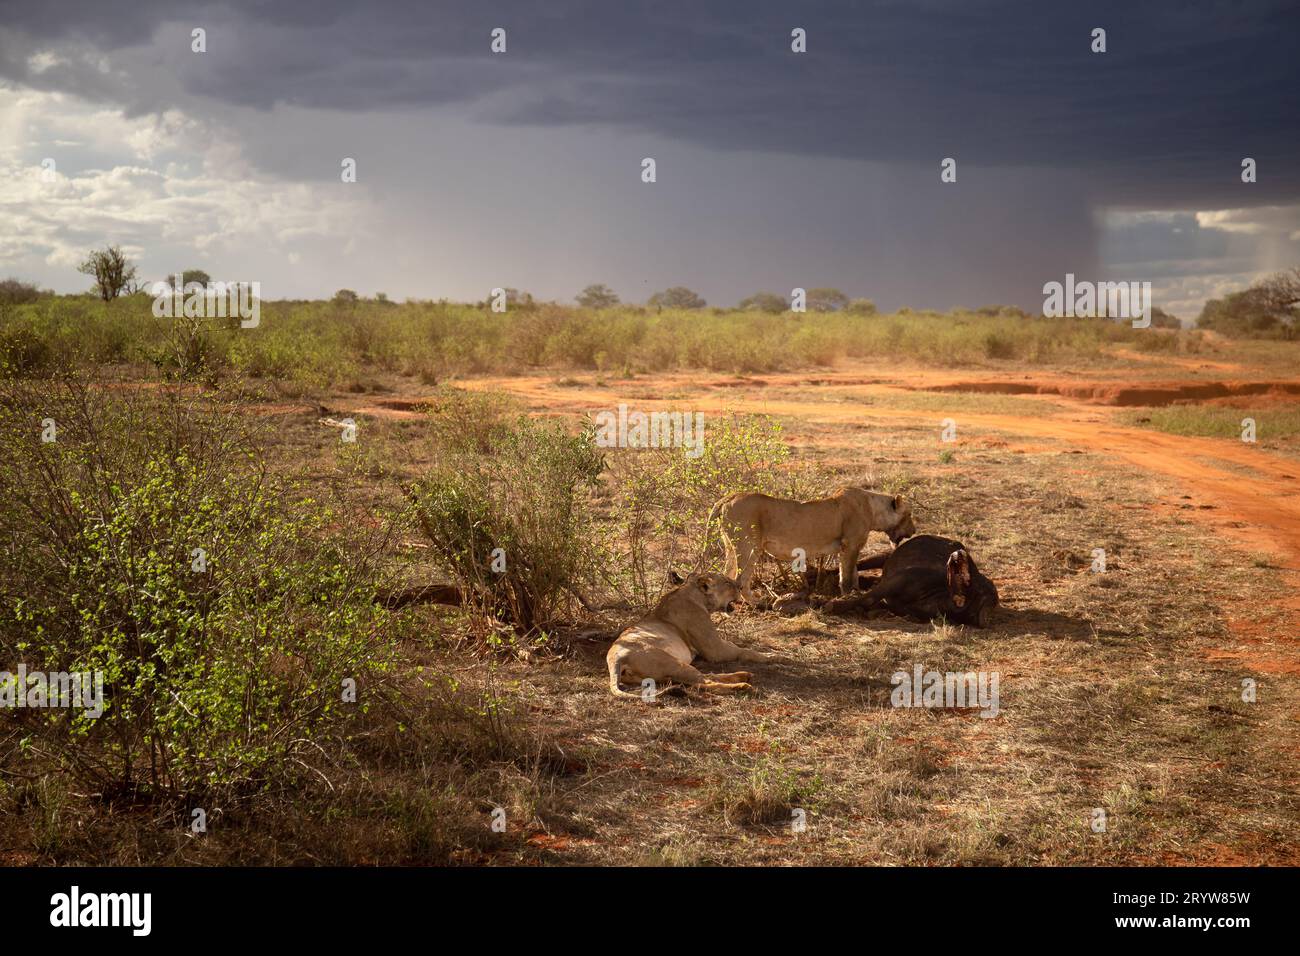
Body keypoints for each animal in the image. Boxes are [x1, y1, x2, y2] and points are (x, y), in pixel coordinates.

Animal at [607, 572, 768, 699]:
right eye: (727, 582)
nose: (741, 587)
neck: (691, 592)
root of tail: (616, 658)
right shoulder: (715, 650)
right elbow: (745, 651)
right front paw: (771, 656)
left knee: (705, 677)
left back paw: (744, 675)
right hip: (673, 663)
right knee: (705, 683)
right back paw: (742, 686)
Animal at [708, 486, 916, 601]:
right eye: (909, 514)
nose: (914, 531)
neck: (874, 510)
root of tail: (729, 497)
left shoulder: (847, 547)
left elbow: (852, 573)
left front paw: (856, 593)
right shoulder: (850, 544)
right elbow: (847, 575)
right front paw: (848, 596)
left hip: (730, 546)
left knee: (728, 574)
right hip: (749, 546)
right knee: (741, 580)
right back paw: (758, 603)